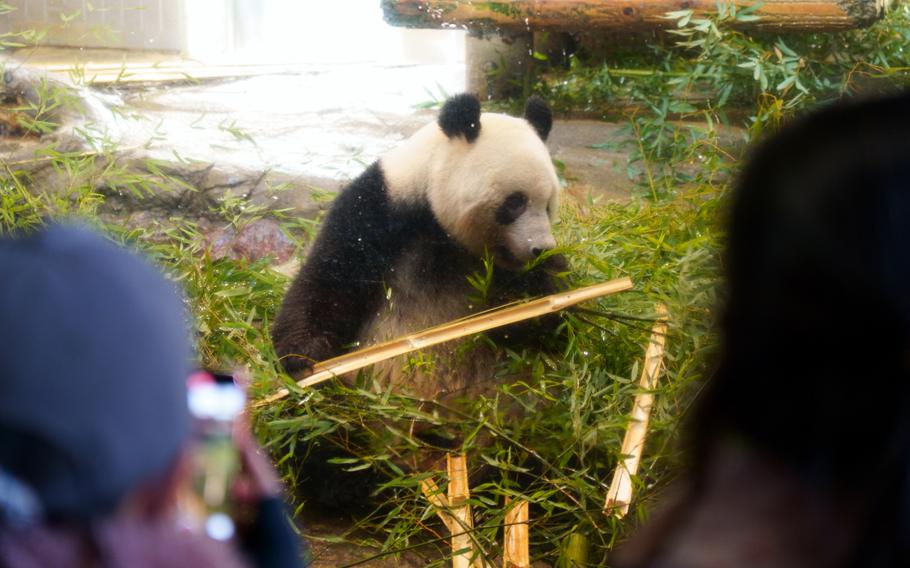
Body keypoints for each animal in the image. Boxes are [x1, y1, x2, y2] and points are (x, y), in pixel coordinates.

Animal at [274, 93, 568, 404]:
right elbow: (330, 282)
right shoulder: (377, 210)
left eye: (549, 205)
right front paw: (304, 359)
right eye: (515, 202)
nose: (541, 249)